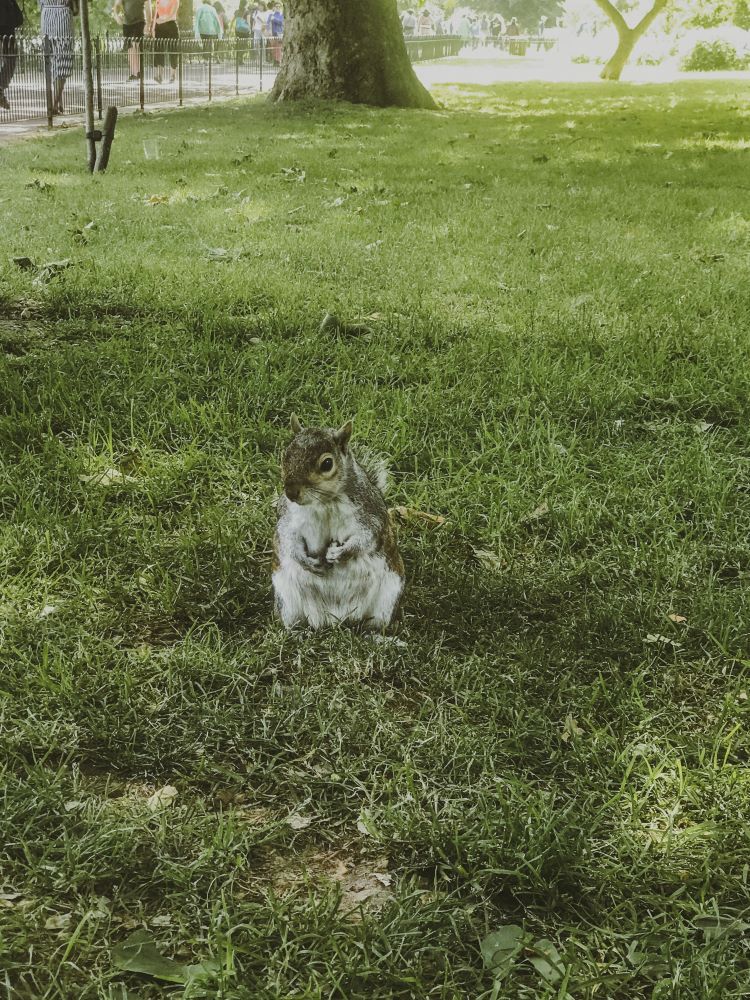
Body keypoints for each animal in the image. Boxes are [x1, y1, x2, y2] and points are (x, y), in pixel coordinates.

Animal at [272, 415, 404, 631]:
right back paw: (298, 633)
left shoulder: (371, 516)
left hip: (388, 596)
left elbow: (367, 538)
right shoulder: (288, 517)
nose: (290, 492)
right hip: (286, 598)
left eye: (327, 464)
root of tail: (336, 621)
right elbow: (286, 539)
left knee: (374, 625)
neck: (324, 502)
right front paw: (306, 561)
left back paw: (376, 636)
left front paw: (342, 552)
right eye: (286, 455)